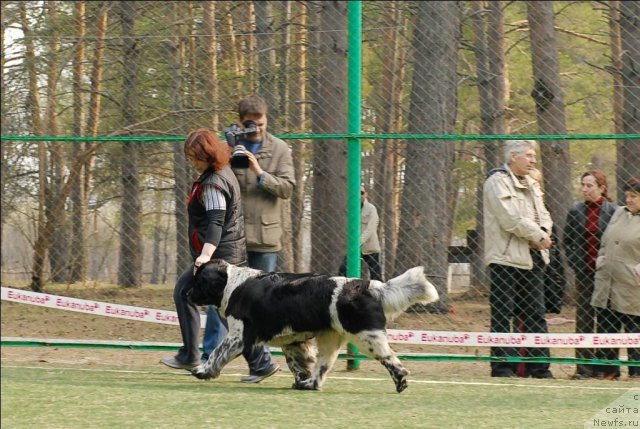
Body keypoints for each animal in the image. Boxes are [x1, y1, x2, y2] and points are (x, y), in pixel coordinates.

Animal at [188, 258, 438, 392]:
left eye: (199, 281)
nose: (186, 293)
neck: (232, 283)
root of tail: (369, 285)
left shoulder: (238, 336)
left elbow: (216, 353)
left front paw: (203, 371)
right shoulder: (293, 342)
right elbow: (299, 365)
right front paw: (300, 379)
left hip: (365, 337)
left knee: (391, 360)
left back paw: (400, 380)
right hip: (331, 341)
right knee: (322, 368)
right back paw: (309, 385)